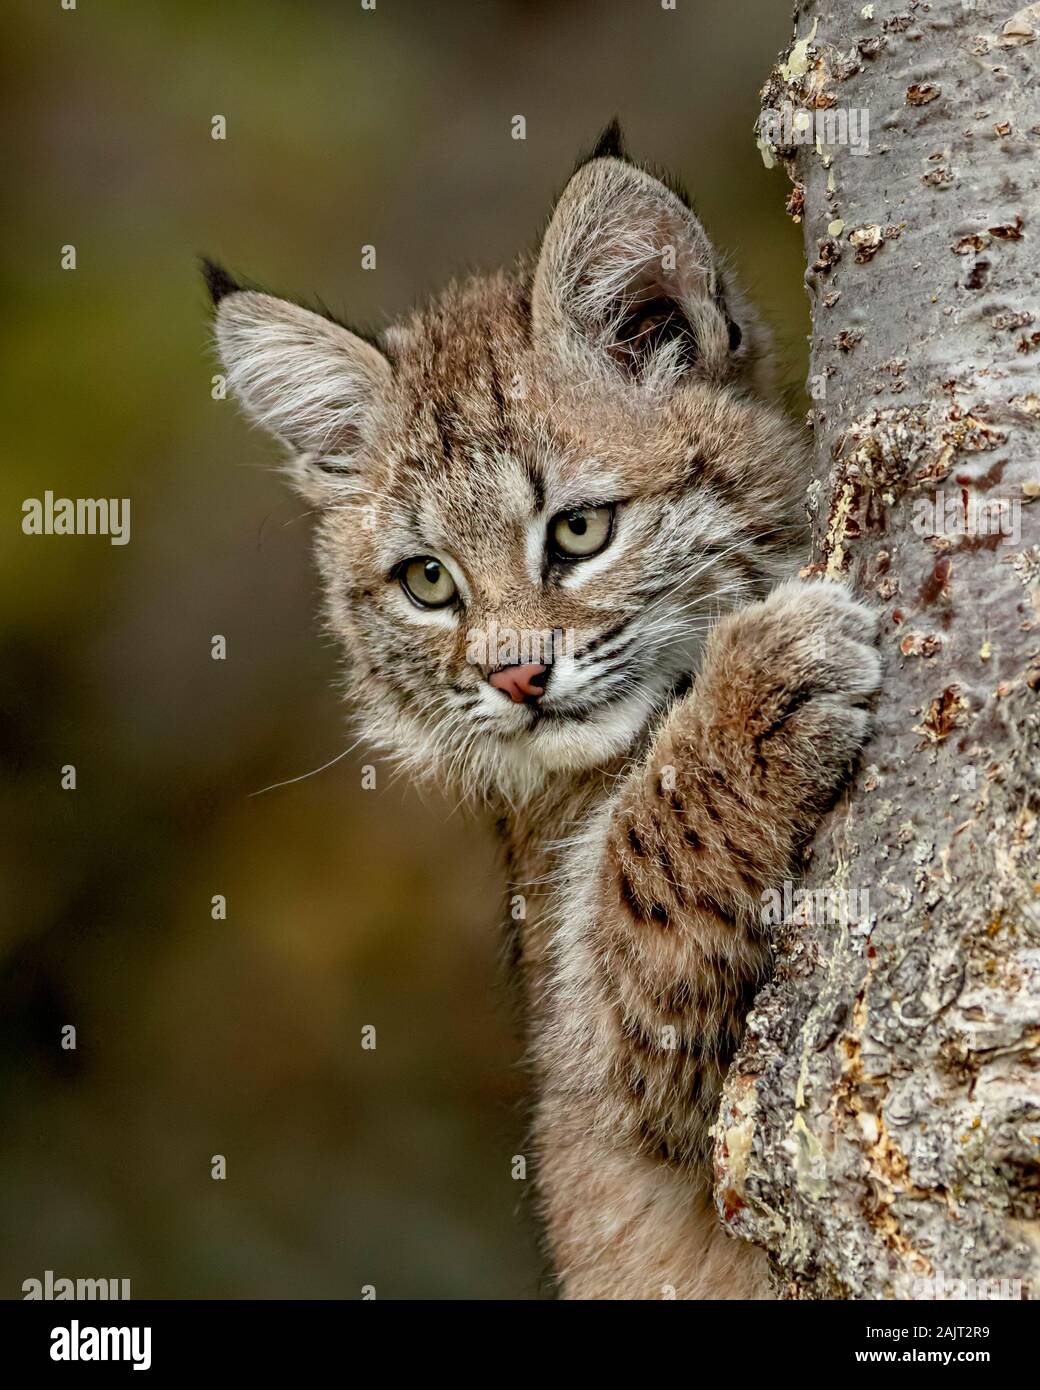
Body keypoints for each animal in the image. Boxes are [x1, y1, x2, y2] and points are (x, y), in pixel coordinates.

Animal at [208, 125, 878, 1295]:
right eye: (428, 582)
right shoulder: (654, 1076)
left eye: (577, 531)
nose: (515, 679)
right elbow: (644, 863)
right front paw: (759, 684)